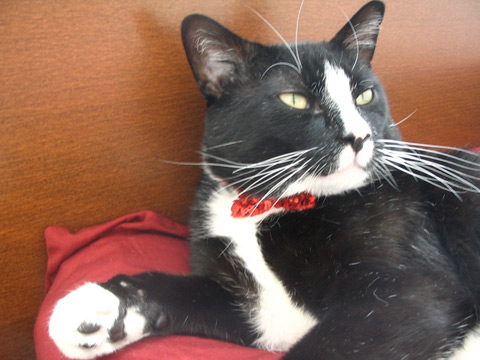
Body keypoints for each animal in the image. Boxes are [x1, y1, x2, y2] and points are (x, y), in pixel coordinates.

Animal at [49, 1, 480, 358]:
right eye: (296, 100)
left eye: (364, 96)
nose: (359, 136)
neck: (265, 206)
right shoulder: (267, 314)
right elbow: (191, 292)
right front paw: (101, 306)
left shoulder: (413, 289)